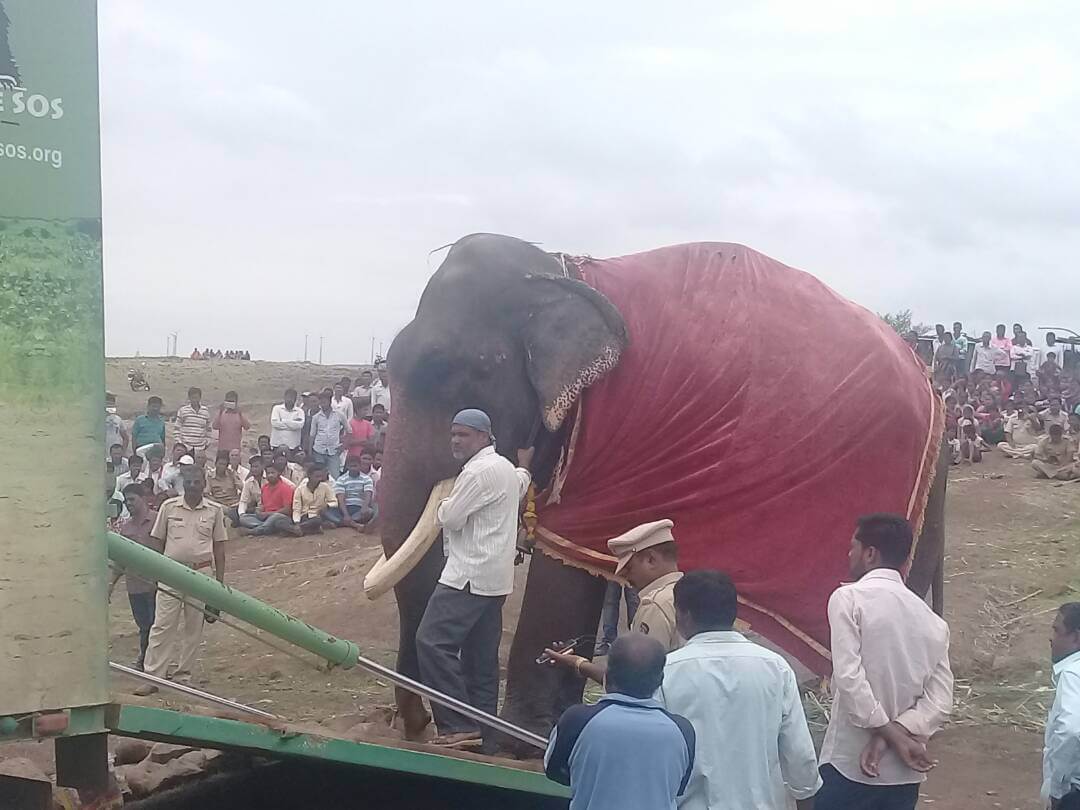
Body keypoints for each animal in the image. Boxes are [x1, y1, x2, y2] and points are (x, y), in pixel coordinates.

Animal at [373, 231, 946, 747]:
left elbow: (564, 563)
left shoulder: (612, 440)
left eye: (447, 369)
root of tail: (928, 377)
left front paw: (519, 741)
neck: (558, 271)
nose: (414, 726)